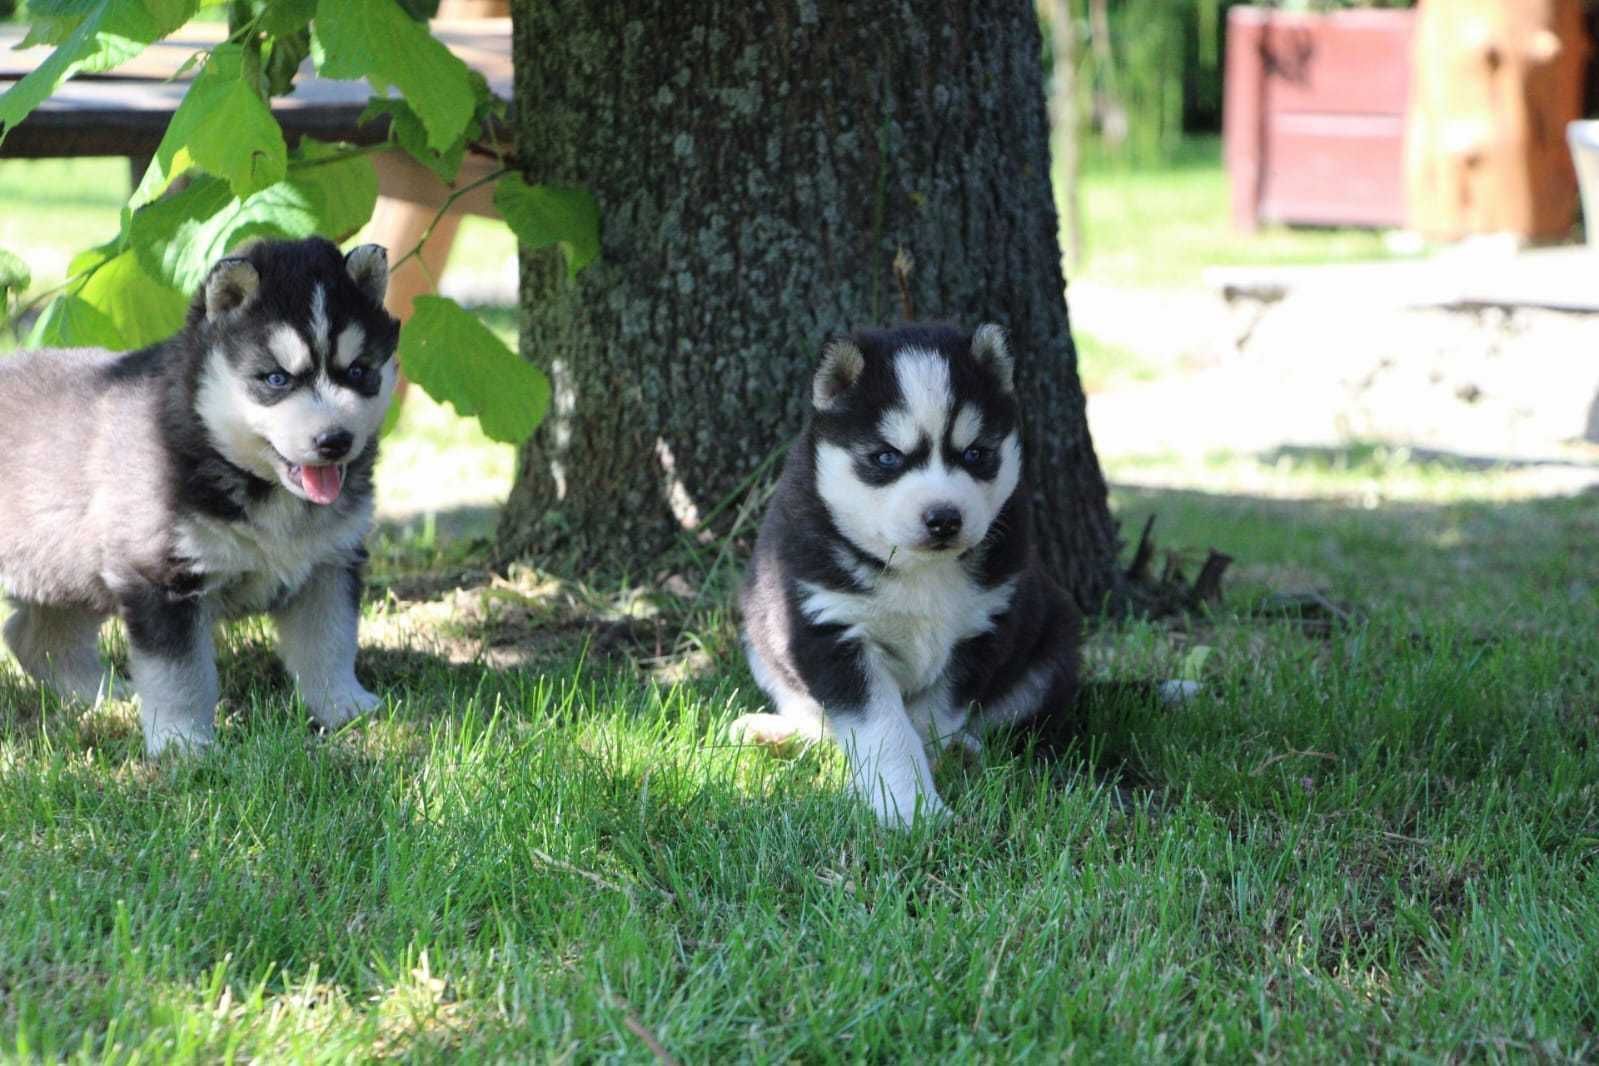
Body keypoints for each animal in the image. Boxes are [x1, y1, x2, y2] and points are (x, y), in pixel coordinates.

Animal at [0, 238, 398, 754]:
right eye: (276, 379)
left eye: (359, 371)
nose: (335, 440)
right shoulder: (160, 577)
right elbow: (179, 675)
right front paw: (182, 742)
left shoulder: (330, 563)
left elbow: (330, 641)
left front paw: (344, 706)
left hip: (68, 568)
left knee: (35, 636)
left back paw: (105, 696)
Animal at [735, 326, 1087, 824]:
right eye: (886, 458)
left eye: (976, 454)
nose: (944, 519)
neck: (919, 570)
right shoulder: (830, 628)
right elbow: (885, 731)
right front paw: (910, 809)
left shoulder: (983, 631)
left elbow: (929, 720)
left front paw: (914, 795)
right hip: (760, 636)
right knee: (813, 720)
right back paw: (773, 733)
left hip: (1053, 642)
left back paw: (964, 752)